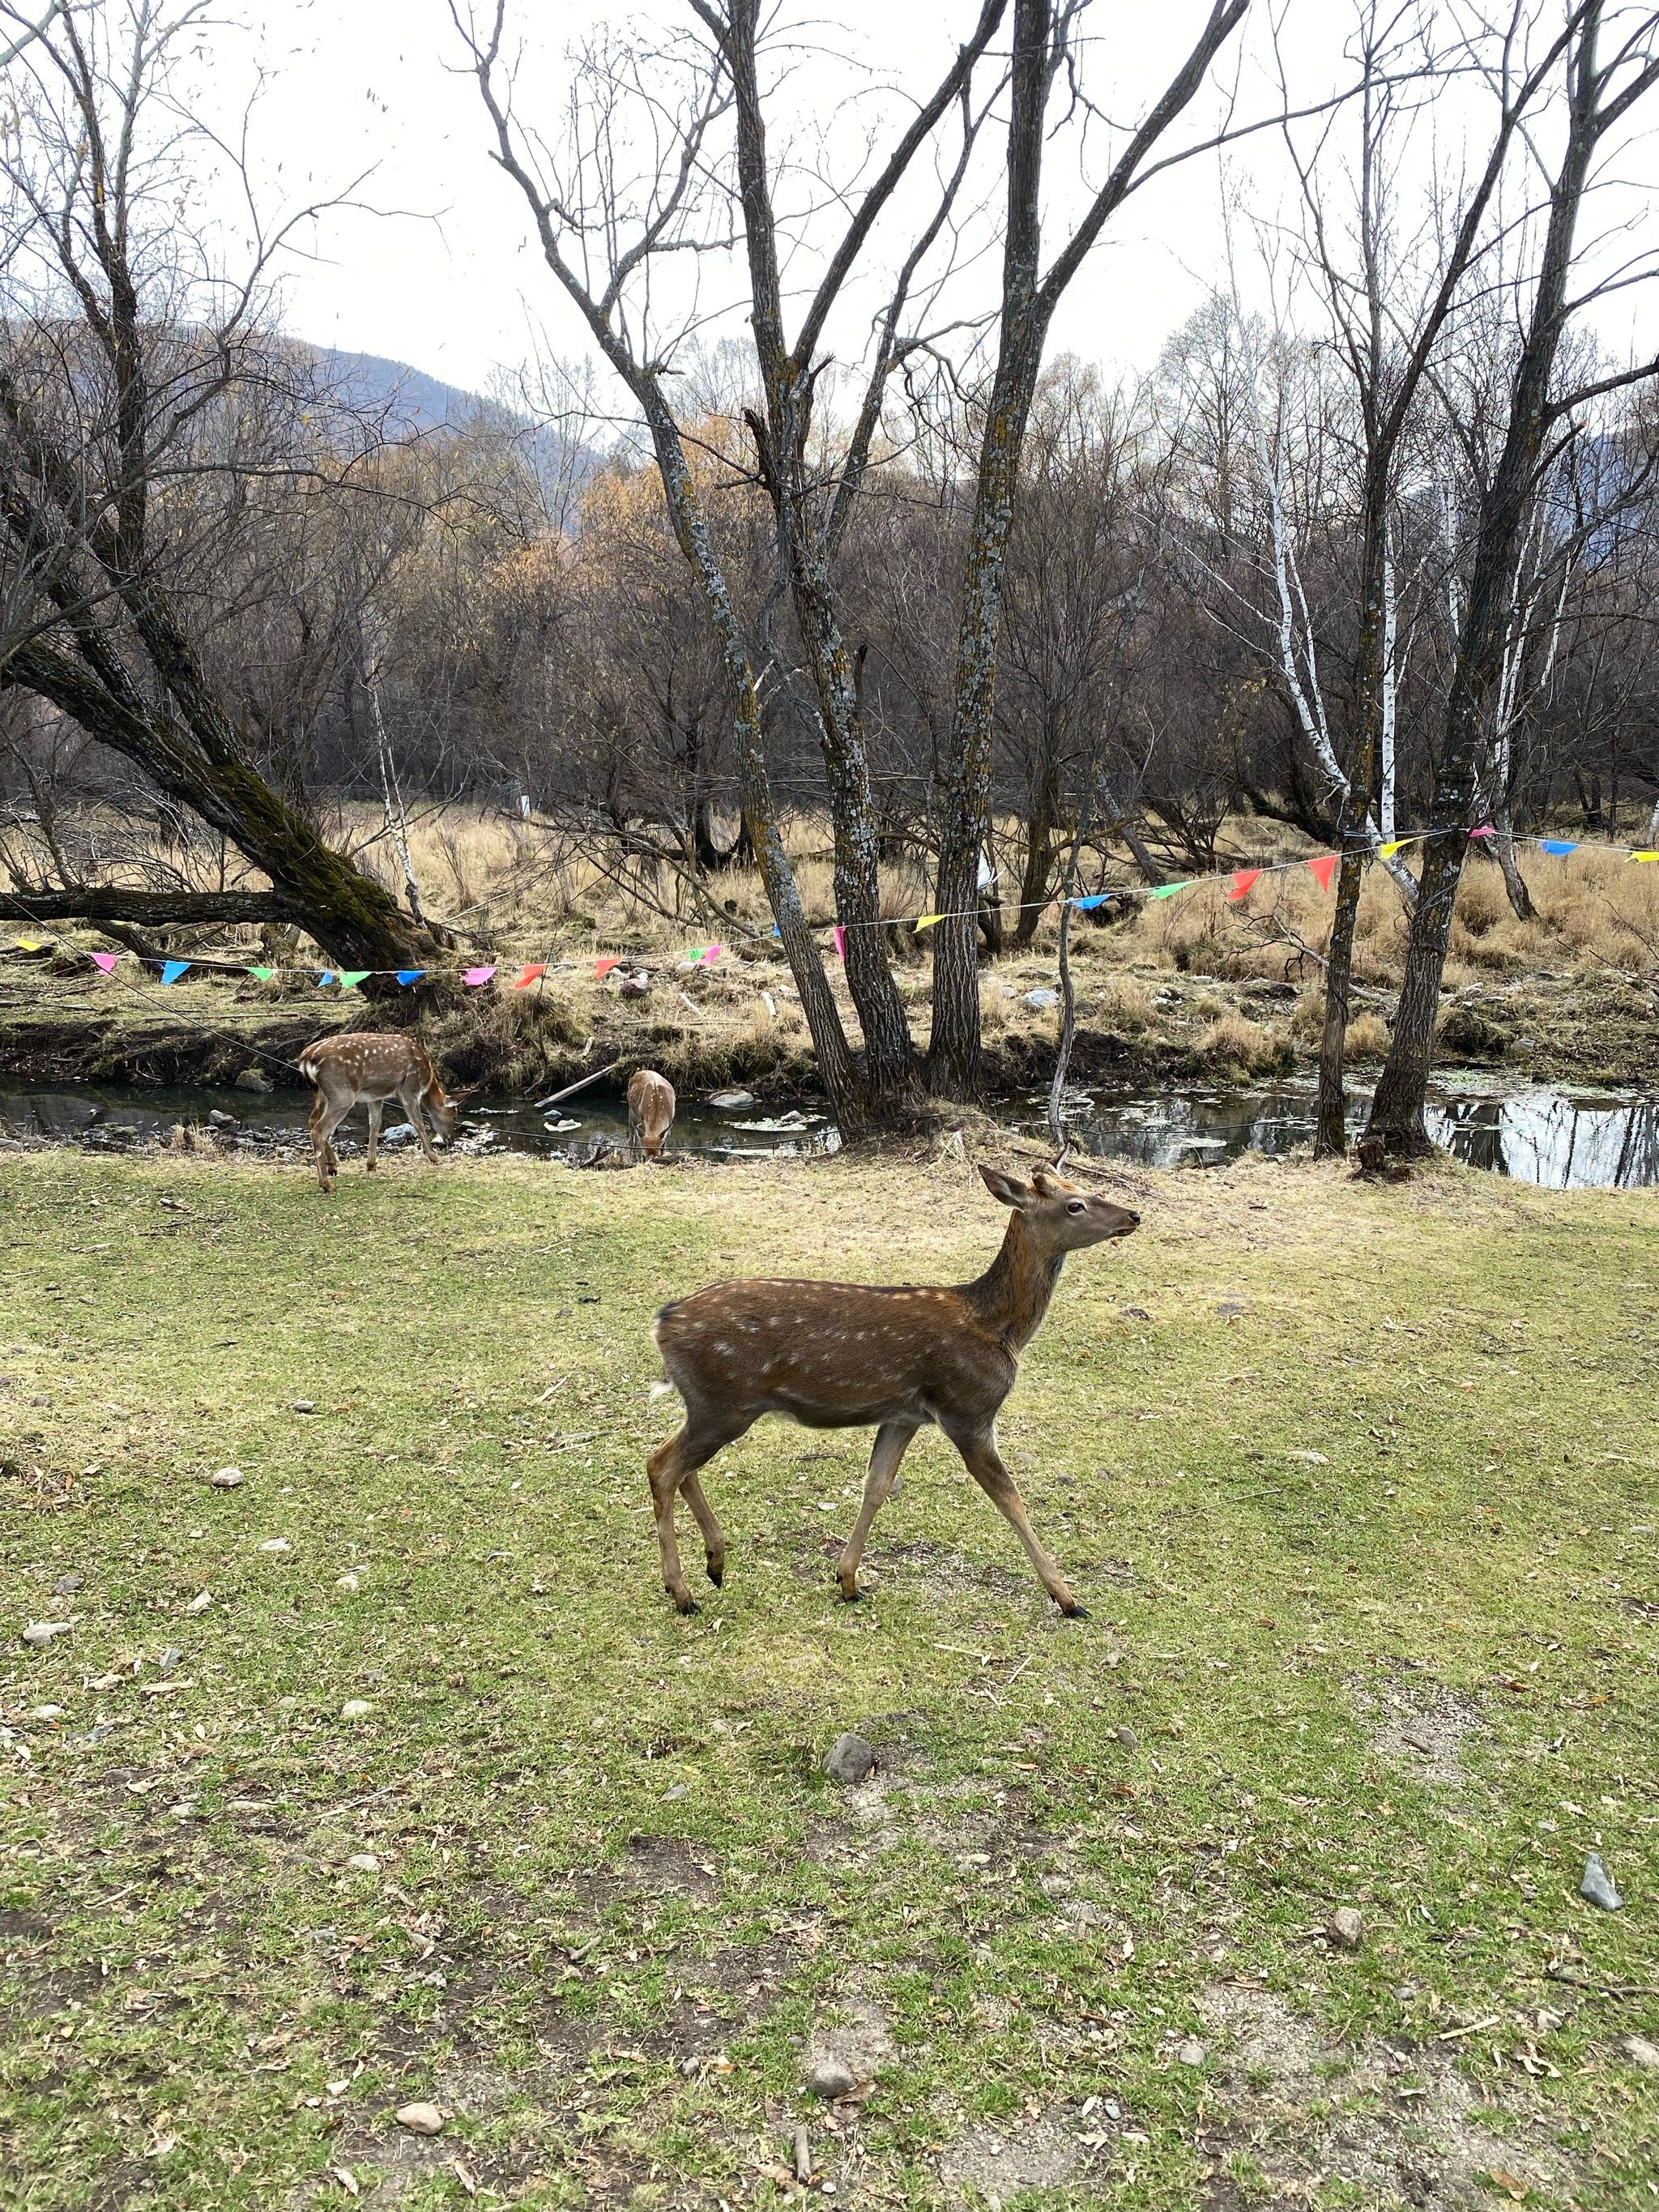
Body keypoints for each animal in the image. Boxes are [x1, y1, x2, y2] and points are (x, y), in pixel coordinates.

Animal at [297, 1032, 473, 1194]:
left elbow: (375, 1125)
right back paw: (326, 1184)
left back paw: (333, 1167)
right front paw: (434, 1158)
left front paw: (371, 1165)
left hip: (322, 1094)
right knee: (319, 1129)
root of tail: (306, 1059)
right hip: (342, 1093)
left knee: (312, 1121)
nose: (451, 1140)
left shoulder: (376, 1095)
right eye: (454, 1114)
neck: (427, 1078)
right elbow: (419, 1123)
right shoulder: (409, 1089)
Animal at [644, 1163, 1139, 1616]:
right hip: (724, 1402)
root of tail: (662, 1323)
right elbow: (1010, 1498)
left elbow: (877, 1486)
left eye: (1084, 1188)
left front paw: (847, 1581)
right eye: (1074, 1205)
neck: (999, 1329)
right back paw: (682, 1593)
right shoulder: (968, 1409)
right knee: (662, 1466)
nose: (1133, 1215)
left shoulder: (904, 1415)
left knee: (679, 1465)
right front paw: (1068, 1599)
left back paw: (715, 1563)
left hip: (710, 1406)